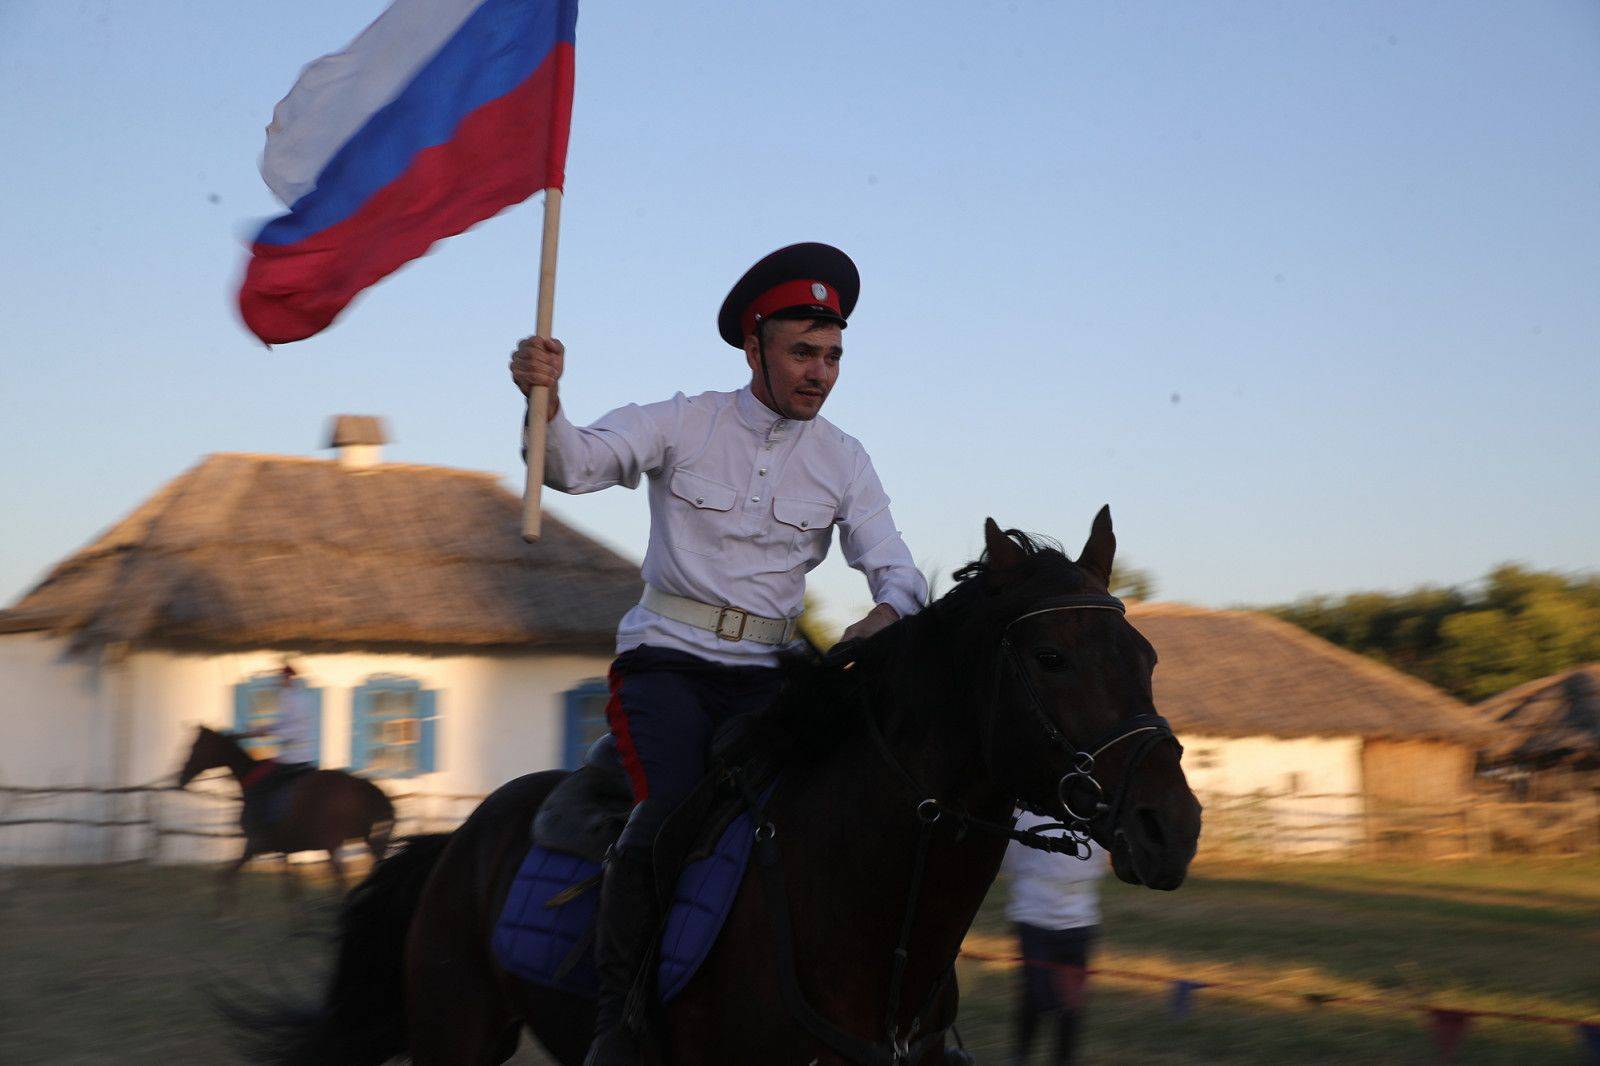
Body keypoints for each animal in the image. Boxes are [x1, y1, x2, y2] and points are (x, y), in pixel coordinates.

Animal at [176, 723, 395, 889]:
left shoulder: (254, 844)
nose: (181, 777)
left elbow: (227, 877)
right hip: (370, 842)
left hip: (334, 843)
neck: (252, 784)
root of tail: (372, 791)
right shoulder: (283, 850)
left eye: (195, 747)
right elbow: (290, 890)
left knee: (342, 879)